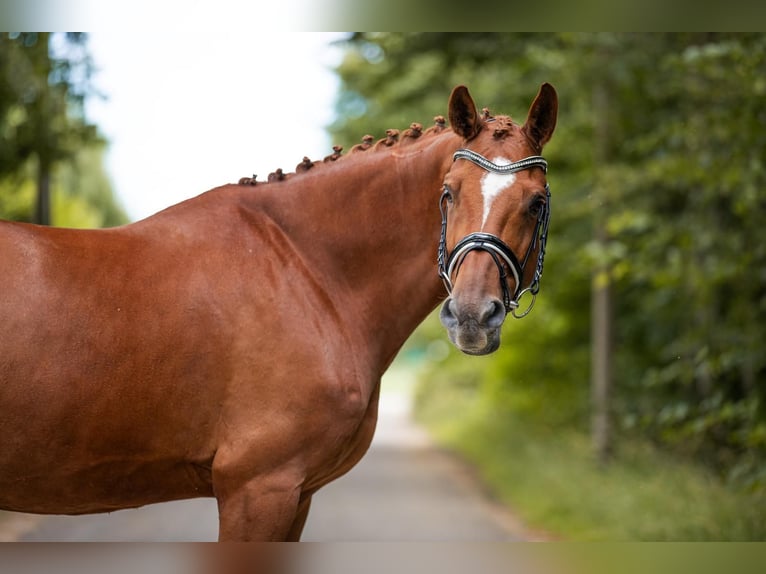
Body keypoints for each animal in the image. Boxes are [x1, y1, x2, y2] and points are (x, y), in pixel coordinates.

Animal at [0, 83, 560, 544]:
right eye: (448, 193)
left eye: (536, 203)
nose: (471, 316)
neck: (306, 267)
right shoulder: (259, 489)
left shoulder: (298, 496)